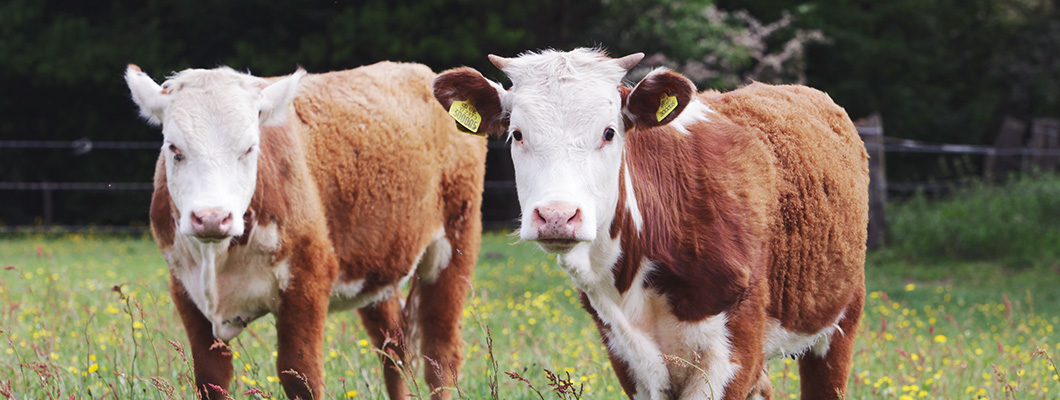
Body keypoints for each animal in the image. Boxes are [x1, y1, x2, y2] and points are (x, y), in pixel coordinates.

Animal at [126, 62, 485, 398]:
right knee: (394, 350)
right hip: (380, 263)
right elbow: (211, 379)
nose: (212, 217)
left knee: (440, 355)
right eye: (174, 149)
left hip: (456, 244)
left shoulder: (308, 282)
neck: (218, 259)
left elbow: (301, 376)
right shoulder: (185, 292)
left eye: (249, 148)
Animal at [432, 49, 869, 398]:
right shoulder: (627, 355)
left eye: (609, 132)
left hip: (840, 321)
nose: (557, 215)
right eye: (517, 134)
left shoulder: (736, 350)